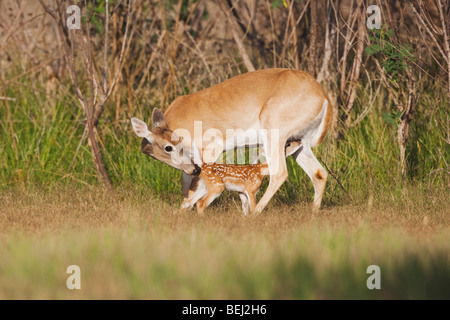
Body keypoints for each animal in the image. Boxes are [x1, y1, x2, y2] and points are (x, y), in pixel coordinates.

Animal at [130, 68, 330, 212]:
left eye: (168, 147)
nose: (194, 169)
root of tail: (324, 97)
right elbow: (187, 187)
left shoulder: (210, 149)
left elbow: (196, 187)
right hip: (299, 142)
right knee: (319, 173)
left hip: (274, 134)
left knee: (279, 172)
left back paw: (255, 212)